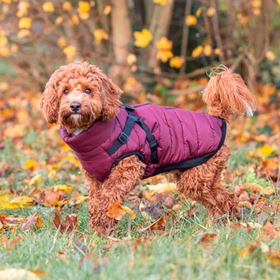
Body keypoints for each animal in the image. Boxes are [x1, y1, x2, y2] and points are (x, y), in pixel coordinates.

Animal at [41, 61, 256, 234]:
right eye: (65, 91)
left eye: (88, 90)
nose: (75, 105)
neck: (96, 131)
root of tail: (216, 118)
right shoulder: (95, 179)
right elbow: (96, 200)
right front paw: (100, 229)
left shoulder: (127, 168)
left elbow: (106, 198)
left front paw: (102, 224)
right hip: (202, 174)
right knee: (224, 196)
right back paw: (225, 220)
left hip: (196, 177)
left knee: (218, 199)